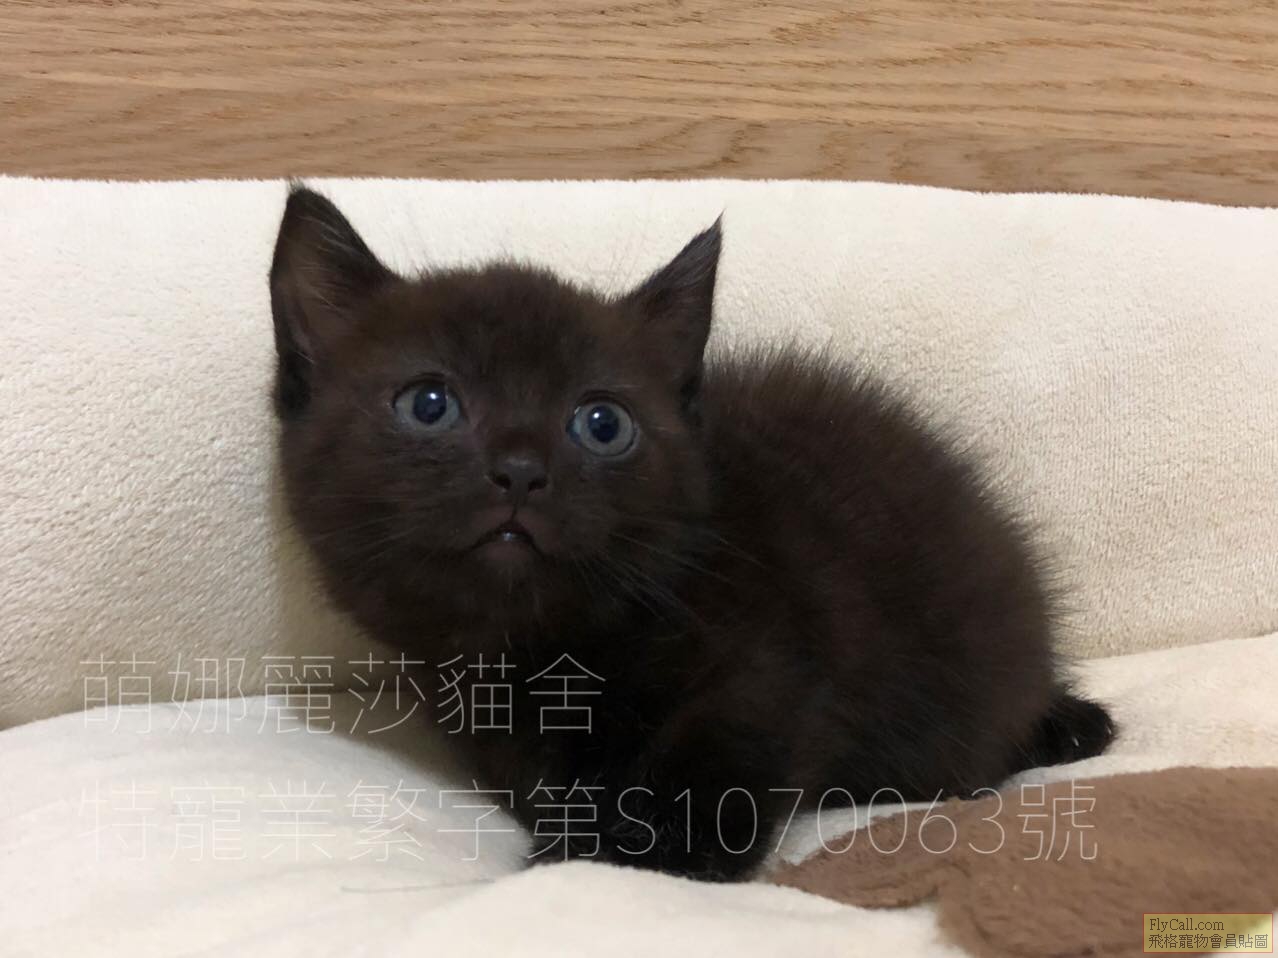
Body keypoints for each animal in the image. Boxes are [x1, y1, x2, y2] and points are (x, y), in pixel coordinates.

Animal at [269, 186, 1115, 881]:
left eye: (602, 423)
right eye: (429, 403)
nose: (520, 470)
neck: (541, 649)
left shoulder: (771, 646)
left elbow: (724, 740)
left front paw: (651, 847)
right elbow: (548, 779)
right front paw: (577, 831)